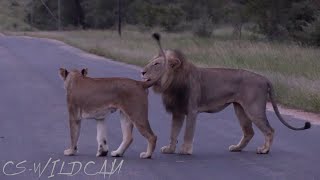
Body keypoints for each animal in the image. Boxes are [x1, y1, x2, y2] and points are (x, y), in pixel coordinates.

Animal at [141, 33, 312, 155]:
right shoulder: (177, 111)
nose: (142, 71)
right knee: (249, 132)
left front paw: (185, 150)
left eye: (156, 64)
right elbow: (173, 132)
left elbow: (187, 133)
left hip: (254, 109)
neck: (171, 82)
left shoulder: (192, 110)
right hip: (240, 109)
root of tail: (265, 78)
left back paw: (264, 150)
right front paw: (169, 149)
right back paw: (237, 148)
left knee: (269, 130)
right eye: (150, 62)